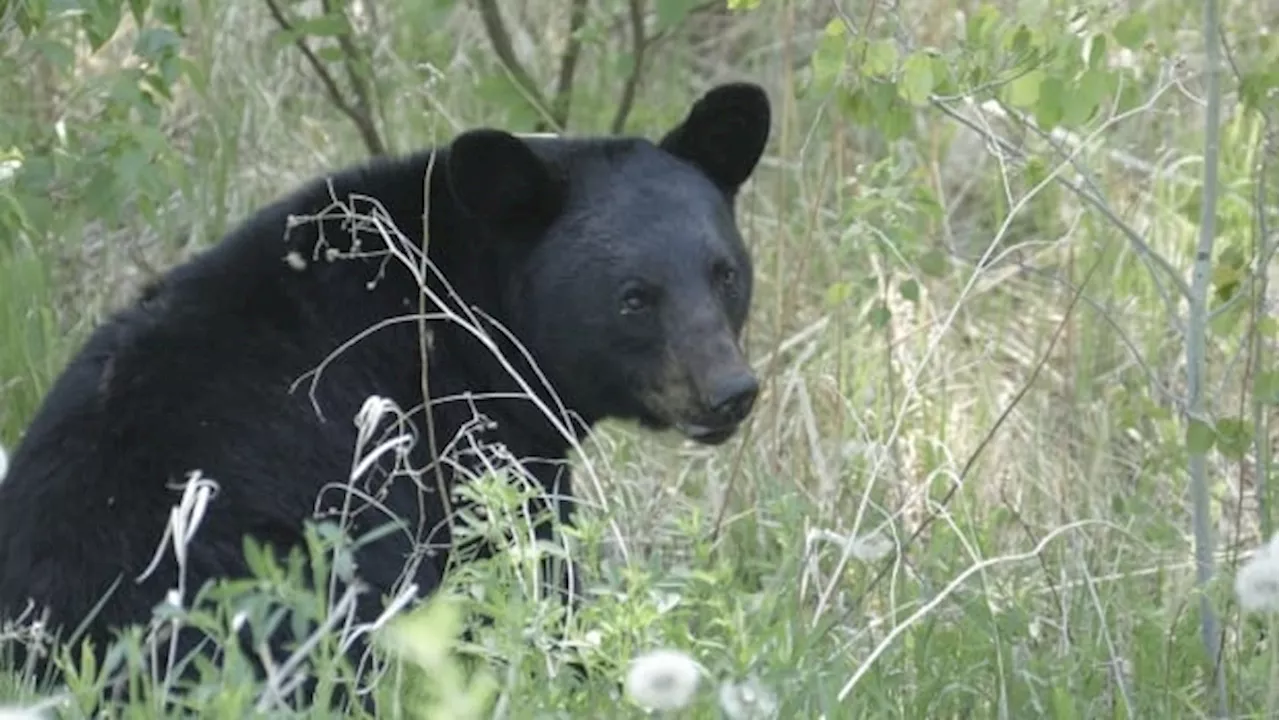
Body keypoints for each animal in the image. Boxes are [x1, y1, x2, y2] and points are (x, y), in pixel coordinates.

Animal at [0, 79, 768, 702]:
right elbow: (524, 570)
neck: (461, 308)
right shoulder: (461, 442)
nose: (730, 391)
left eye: (725, 273)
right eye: (635, 298)